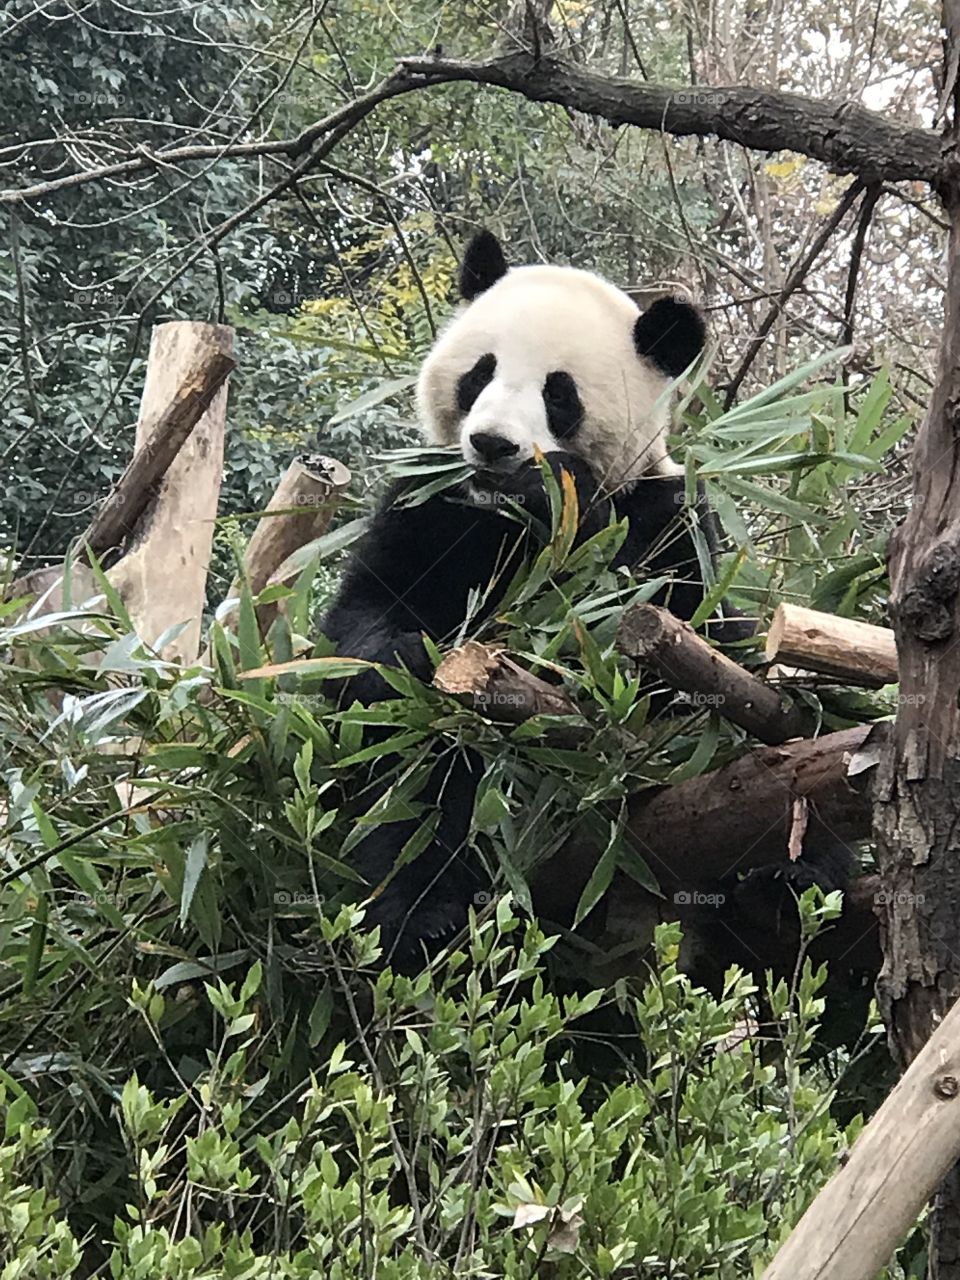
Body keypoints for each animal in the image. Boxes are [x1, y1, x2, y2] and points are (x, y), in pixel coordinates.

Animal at [321, 230, 849, 967]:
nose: (492, 444)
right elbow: (366, 615)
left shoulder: (668, 524)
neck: (505, 518)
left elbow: (662, 633)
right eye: (480, 372)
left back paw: (790, 885)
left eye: (559, 394)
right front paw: (404, 654)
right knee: (417, 787)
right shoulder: (430, 503)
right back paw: (421, 919)